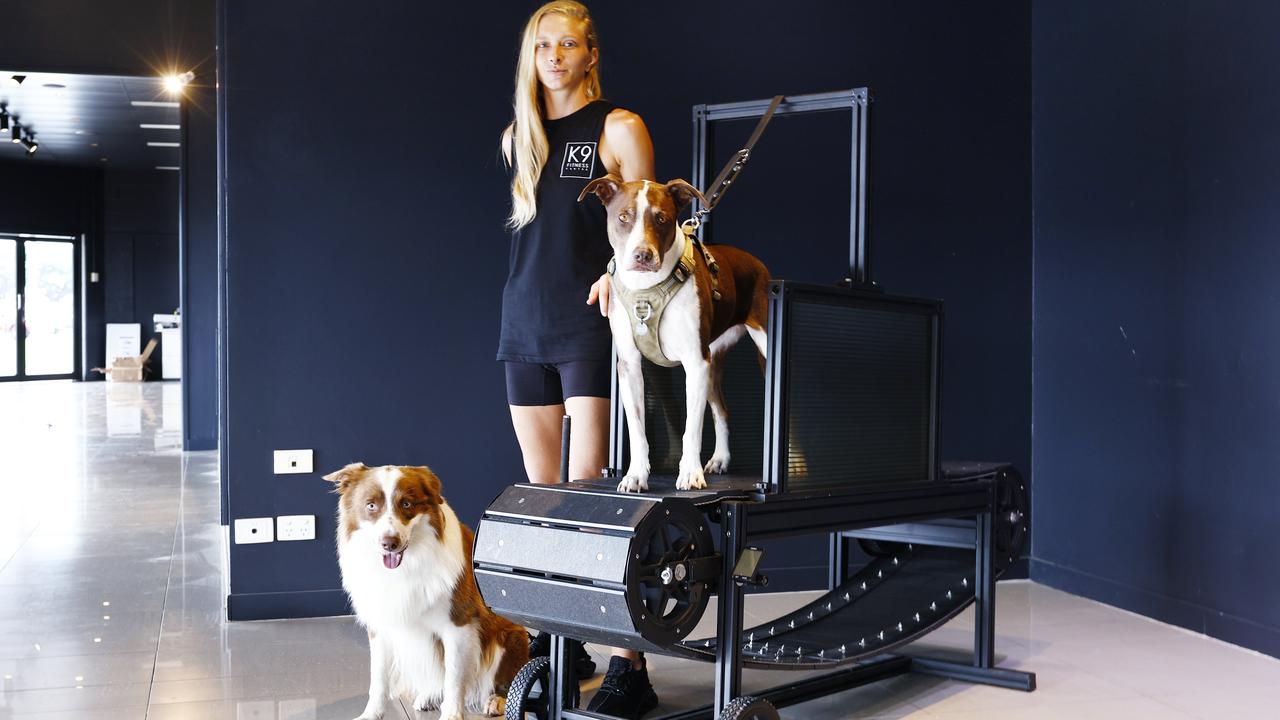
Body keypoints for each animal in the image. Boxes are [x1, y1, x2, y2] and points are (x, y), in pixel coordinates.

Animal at [327, 461, 532, 712]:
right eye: (371, 505)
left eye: (406, 503)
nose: (389, 543)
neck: (406, 567)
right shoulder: (381, 623)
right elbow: (378, 679)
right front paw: (371, 714)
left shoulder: (458, 624)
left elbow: (454, 679)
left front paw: (452, 714)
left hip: (509, 638)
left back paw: (496, 701)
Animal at [581, 174, 768, 489]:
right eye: (623, 217)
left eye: (662, 219)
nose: (642, 255)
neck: (647, 288)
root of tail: (758, 263)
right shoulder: (630, 366)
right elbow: (637, 429)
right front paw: (636, 475)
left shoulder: (695, 362)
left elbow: (691, 428)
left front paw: (690, 473)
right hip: (713, 362)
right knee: (721, 409)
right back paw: (720, 459)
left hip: (762, 350)